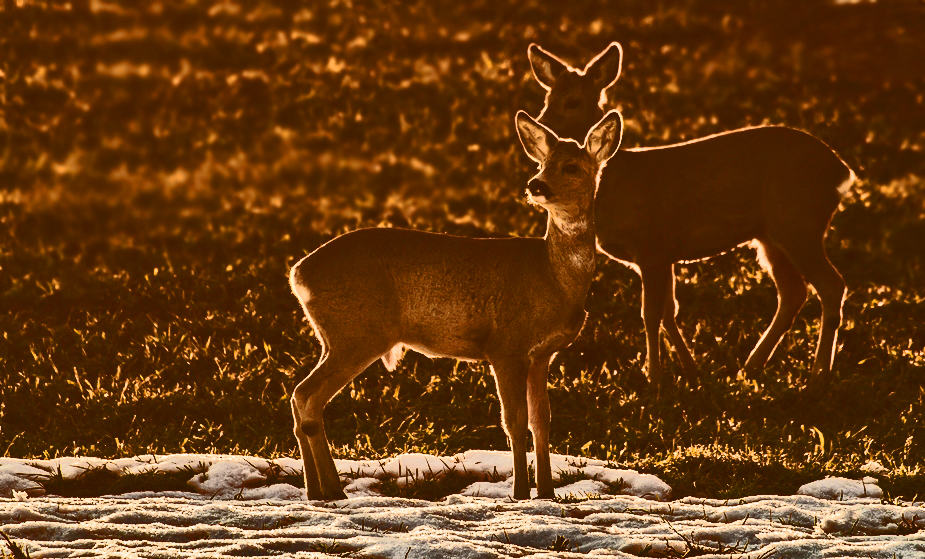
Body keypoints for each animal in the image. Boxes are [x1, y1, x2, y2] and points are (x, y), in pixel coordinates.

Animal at [288, 110, 620, 504]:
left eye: (571, 166)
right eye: (542, 163)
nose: (536, 185)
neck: (554, 278)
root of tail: (298, 273)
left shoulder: (542, 354)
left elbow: (542, 421)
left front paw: (547, 493)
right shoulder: (505, 345)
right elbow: (514, 421)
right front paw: (520, 493)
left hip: (336, 336)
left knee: (300, 398)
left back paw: (315, 491)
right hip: (358, 332)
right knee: (308, 397)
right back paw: (334, 491)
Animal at [528, 43, 852, 392]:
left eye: (572, 101)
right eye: (546, 98)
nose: (539, 127)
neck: (615, 183)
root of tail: (842, 172)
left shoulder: (651, 247)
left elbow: (651, 314)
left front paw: (654, 379)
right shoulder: (665, 253)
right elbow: (670, 312)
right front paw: (691, 371)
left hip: (799, 223)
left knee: (831, 285)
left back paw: (818, 376)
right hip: (771, 235)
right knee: (793, 292)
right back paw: (752, 366)